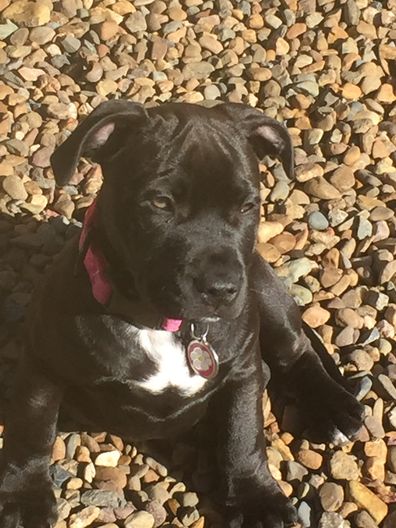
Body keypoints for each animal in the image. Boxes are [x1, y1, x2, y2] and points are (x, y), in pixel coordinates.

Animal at [0, 101, 364, 524]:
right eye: (160, 203)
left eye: (247, 206)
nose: (222, 288)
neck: (160, 323)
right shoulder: (43, 365)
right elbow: (32, 430)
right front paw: (25, 497)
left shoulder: (242, 371)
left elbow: (243, 436)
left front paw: (256, 498)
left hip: (265, 291)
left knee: (297, 352)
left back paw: (332, 408)